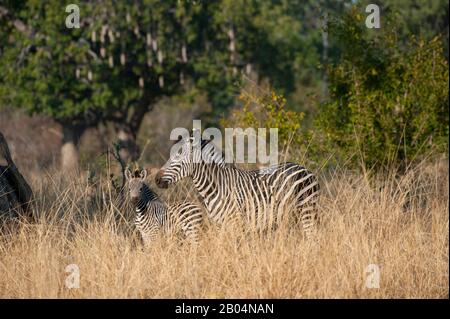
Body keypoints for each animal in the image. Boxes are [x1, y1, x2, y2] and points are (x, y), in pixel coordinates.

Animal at [155, 136, 320, 239]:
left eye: (177, 157)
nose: (156, 179)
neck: (216, 187)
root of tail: (305, 169)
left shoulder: (234, 224)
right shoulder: (219, 225)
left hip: (307, 210)